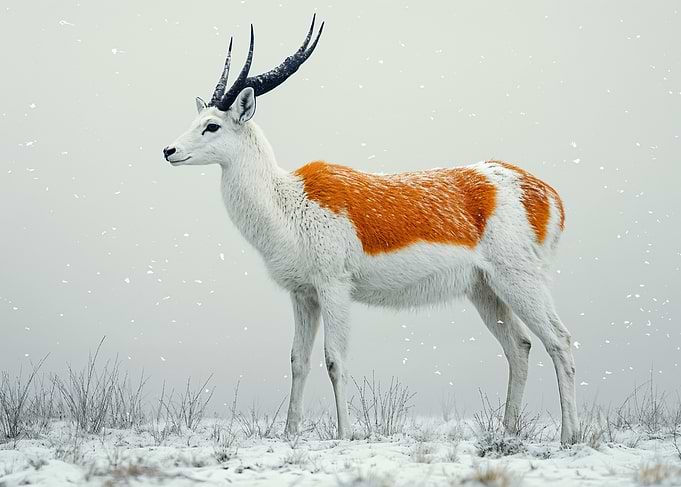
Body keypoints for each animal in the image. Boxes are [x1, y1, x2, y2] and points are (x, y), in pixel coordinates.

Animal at [163, 17, 579, 444]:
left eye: (212, 126)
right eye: (195, 121)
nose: (169, 151)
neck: (287, 202)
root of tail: (545, 193)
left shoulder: (334, 286)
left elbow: (334, 359)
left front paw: (345, 434)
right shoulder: (303, 294)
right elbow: (298, 360)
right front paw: (289, 433)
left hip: (520, 279)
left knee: (560, 340)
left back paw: (569, 436)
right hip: (485, 290)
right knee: (520, 346)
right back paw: (507, 434)